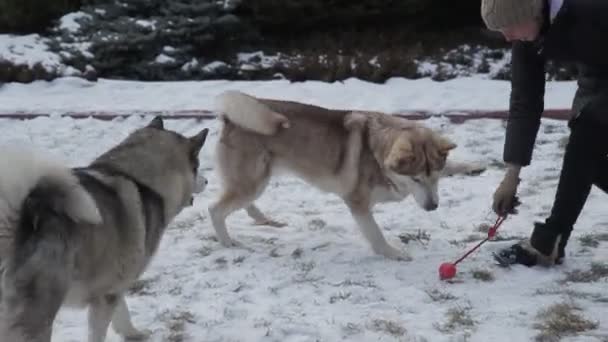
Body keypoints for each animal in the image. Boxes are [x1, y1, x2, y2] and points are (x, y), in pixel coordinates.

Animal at [0, 117, 209, 342]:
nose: (207, 181)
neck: (137, 178)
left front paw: (132, 333)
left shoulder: (114, 285)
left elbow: (122, 312)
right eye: (197, 166)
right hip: (39, 312)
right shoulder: (106, 296)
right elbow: (100, 330)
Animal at [209, 91, 484, 260]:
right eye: (416, 179)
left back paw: (265, 220)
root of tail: (229, 118)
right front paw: (392, 253)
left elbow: (452, 165)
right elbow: (376, 233)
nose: (433, 207)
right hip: (252, 182)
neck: (377, 153)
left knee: (243, 204)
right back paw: (228, 242)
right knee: (216, 210)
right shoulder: (357, 202)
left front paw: (473, 167)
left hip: (256, 181)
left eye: (434, 177)